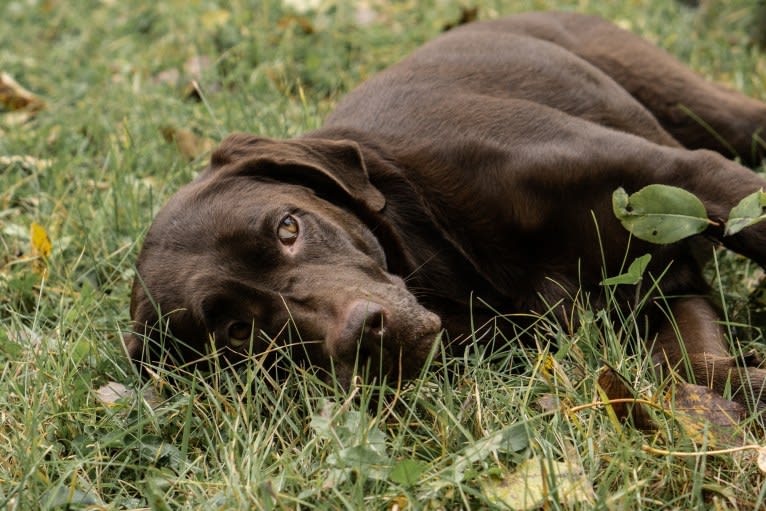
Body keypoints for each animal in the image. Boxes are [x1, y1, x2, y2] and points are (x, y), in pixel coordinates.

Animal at [129, 11, 766, 404]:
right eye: (239, 333)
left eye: (288, 227)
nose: (366, 334)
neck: (438, 243)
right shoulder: (667, 292)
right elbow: (694, 371)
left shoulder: (685, 178)